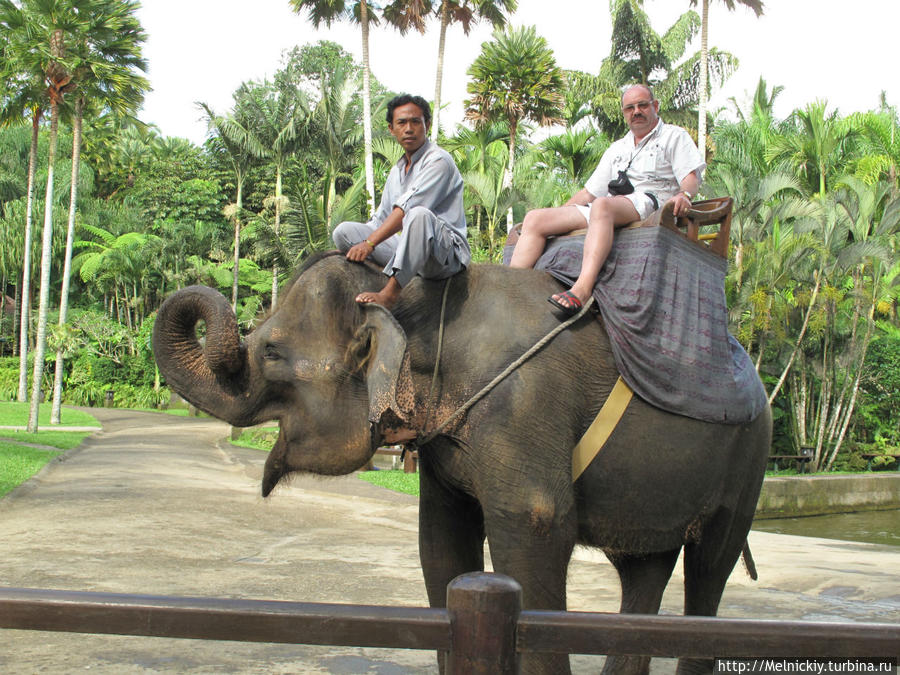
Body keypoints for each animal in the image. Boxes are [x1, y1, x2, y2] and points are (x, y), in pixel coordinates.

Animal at [155, 251, 772, 672]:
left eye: (273, 352)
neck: (420, 307)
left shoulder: (524, 409)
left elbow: (537, 529)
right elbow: (441, 542)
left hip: (748, 463)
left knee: (708, 568)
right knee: (644, 569)